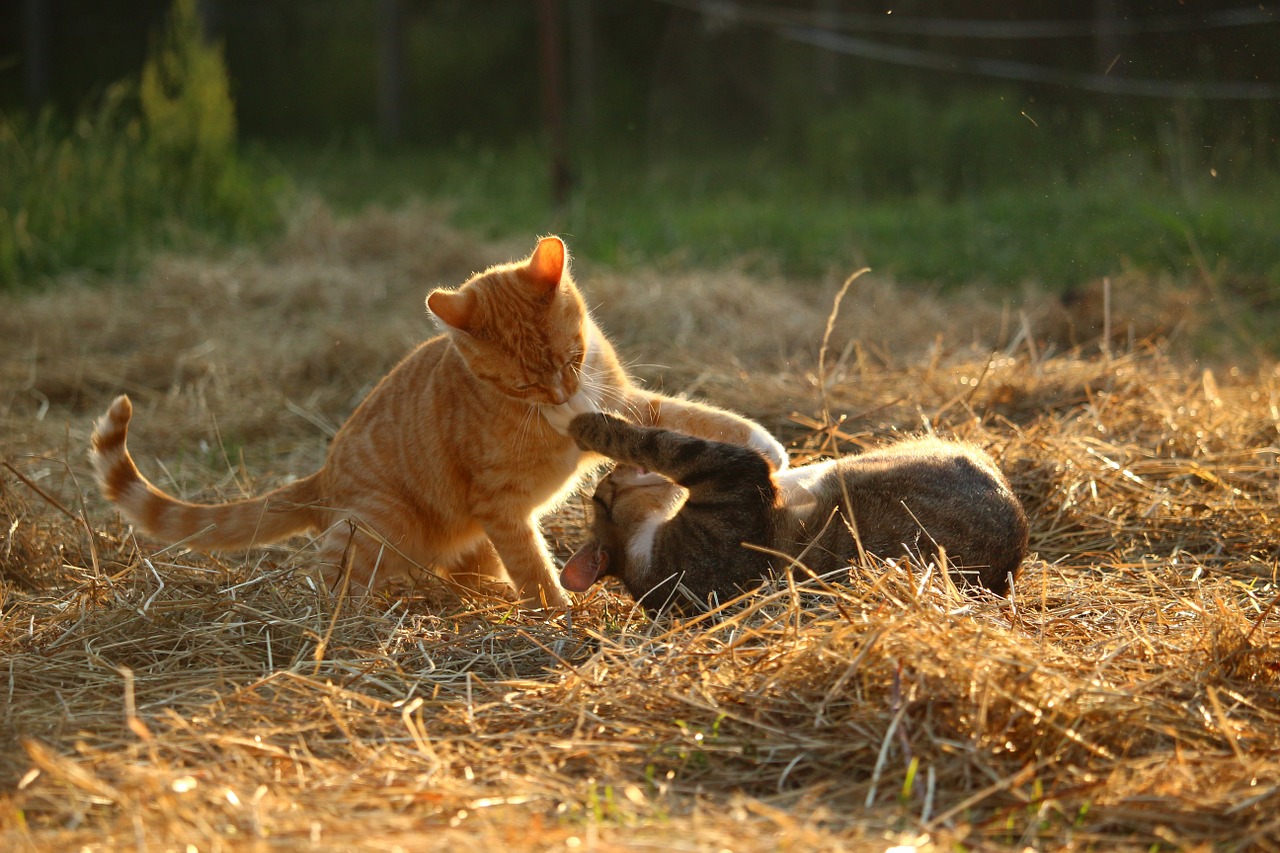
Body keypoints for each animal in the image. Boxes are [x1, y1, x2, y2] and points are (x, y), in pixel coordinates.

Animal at [552, 412, 1029, 612]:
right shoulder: (734, 479)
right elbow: (660, 443)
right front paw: (585, 424)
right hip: (870, 472)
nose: (611, 472)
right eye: (601, 497)